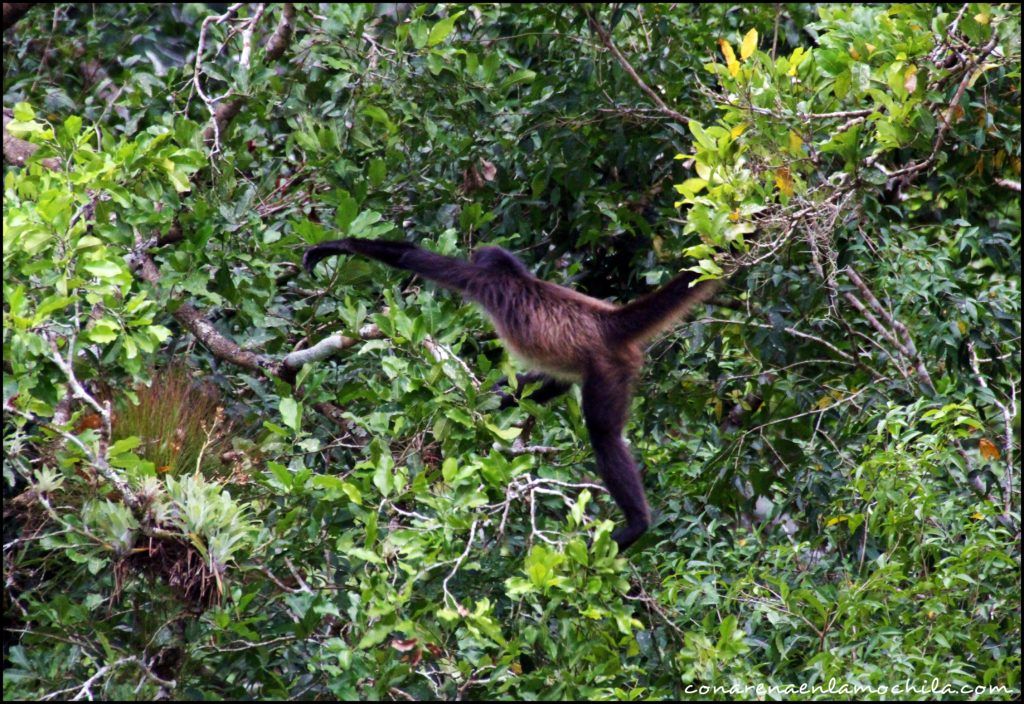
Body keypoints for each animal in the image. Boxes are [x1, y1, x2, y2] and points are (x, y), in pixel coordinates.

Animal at [303, 236, 720, 548]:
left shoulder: (480, 280)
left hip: (608, 369)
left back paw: (637, 524)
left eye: (477, 257)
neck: (517, 276)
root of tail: (609, 321)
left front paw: (336, 246)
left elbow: (410, 256)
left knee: (603, 434)